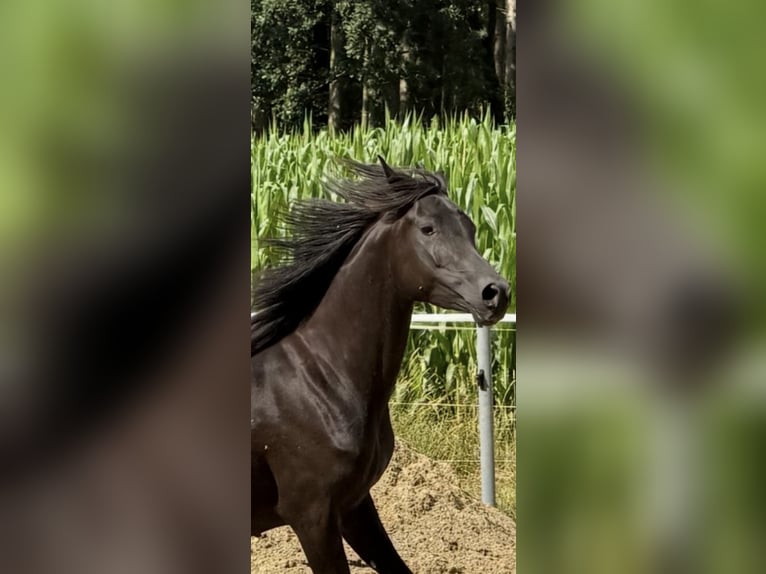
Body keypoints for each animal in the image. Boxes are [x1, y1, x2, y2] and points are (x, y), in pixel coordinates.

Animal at [251, 156, 510, 574]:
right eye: (427, 228)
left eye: (470, 227)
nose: (496, 293)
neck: (319, 380)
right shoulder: (311, 516)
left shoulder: (355, 506)